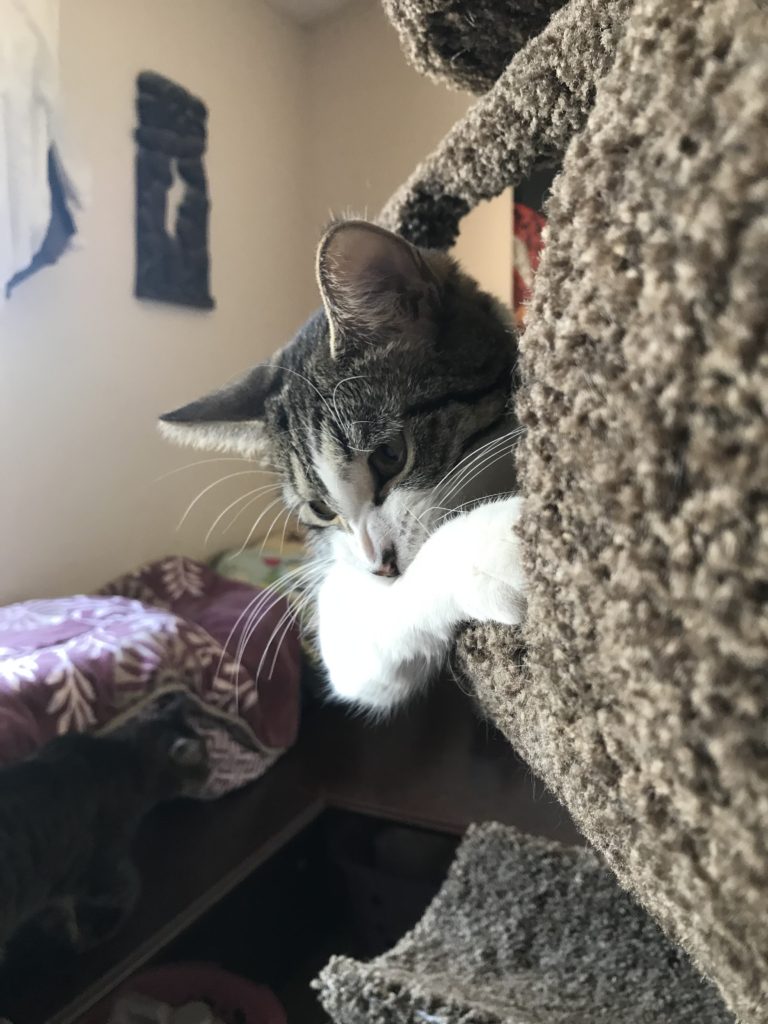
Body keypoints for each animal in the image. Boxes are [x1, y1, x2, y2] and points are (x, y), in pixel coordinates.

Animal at [159, 220, 528, 708]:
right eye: (320, 508)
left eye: (390, 455)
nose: (381, 565)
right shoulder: (350, 621)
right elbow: (357, 639)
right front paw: (494, 546)